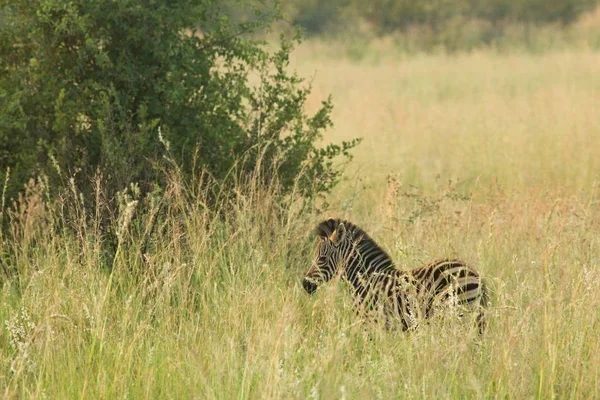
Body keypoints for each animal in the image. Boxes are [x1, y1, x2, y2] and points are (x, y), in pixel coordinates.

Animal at [302, 219, 490, 332]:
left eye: (322, 259)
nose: (305, 284)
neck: (366, 280)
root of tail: (474, 273)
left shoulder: (371, 322)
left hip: (458, 313)